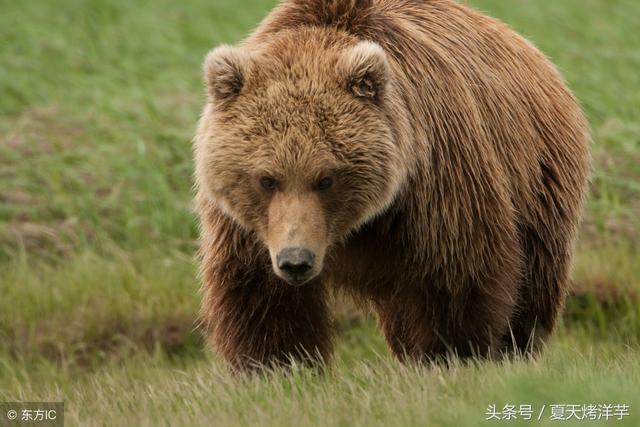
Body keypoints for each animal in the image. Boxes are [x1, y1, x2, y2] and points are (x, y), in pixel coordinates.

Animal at [194, 0, 592, 372]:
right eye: (267, 179)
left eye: (326, 178)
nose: (296, 261)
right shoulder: (249, 226)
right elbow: (260, 293)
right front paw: (277, 365)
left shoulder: (435, 179)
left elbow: (454, 272)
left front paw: (451, 354)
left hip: (537, 178)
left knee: (534, 281)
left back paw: (516, 346)